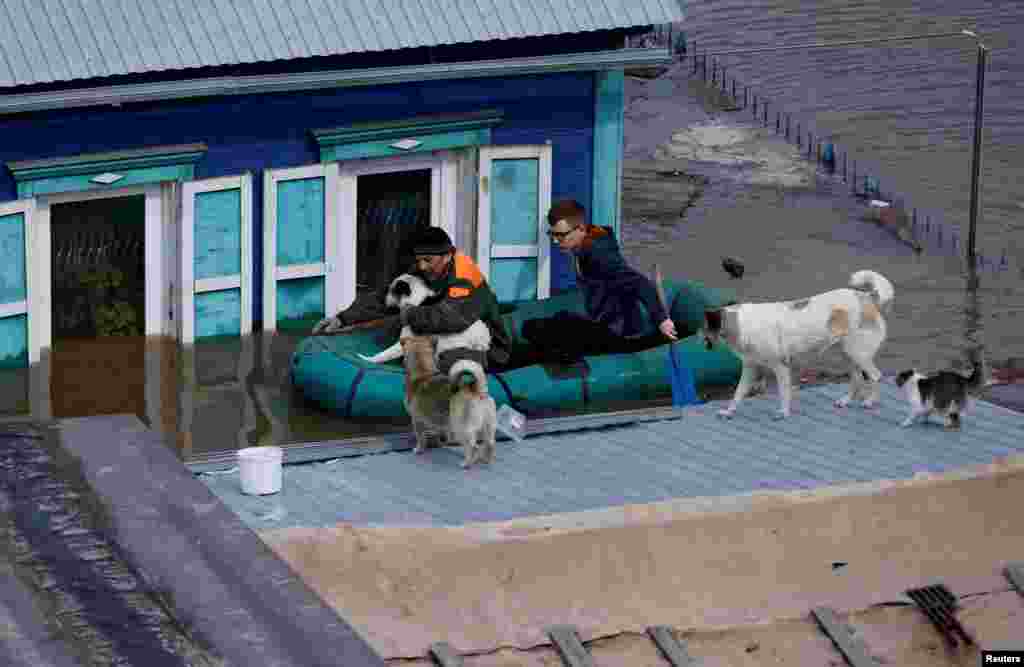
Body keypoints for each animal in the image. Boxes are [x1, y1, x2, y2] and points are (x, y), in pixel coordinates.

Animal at [356, 270, 491, 364]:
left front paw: (368, 359)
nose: (381, 299)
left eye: (390, 290)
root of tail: (485, 342)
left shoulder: (407, 340)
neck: (418, 298)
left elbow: (384, 354)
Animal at [704, 270, 897, 418]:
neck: (742, 323)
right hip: (848, 355)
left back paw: (870, 401)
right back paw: (845, 401)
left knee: (876, 376)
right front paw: (729, 411)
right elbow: (738, 393)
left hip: (858, 354)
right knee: (857, 379)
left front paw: (783, 413)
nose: (703, 341)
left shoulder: (781, 367)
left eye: (704, 328)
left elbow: (783, 392)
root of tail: (868, 297)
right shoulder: (750, 368)